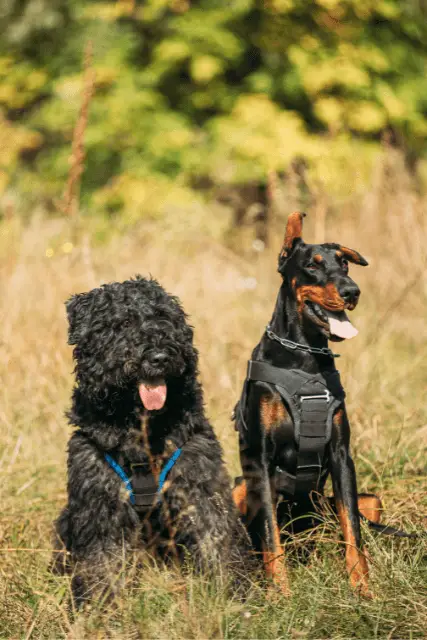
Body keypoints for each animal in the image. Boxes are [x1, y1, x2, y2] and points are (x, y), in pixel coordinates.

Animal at [53, 278, 249, 604]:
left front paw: (230, 595)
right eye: (123, 323)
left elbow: (215, 544)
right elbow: (101, 561)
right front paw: (99, 606)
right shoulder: (100, 502)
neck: (140, 427)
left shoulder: (200, 488)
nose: (158, 357)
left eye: (164, 317)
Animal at [232, 212, 382, 596]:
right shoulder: (262, 459)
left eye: (344, 263)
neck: (305, 357)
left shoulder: (341, 454)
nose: (352, 291)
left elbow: (352, 532)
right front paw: (281, 594)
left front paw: (362, 589)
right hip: (240, 487)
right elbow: (270, 536)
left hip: (361, 503)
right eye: (312, 266)